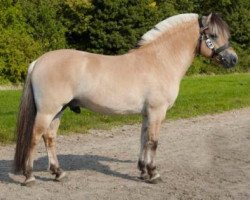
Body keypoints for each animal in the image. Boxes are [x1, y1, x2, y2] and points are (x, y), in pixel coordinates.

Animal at [14, 12, 238, 185]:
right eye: (214, 35)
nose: (233, 59)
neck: (160, 61)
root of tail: (38, 61)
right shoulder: (157, 111)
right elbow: (153, 141)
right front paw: (154, 174)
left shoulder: (147, 113)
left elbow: (143, 139)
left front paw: (143, 171)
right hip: (47, 111)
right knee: (35, 137)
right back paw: (29, 176)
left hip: (58, 111)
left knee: (49, 137)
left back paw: (58, 173)